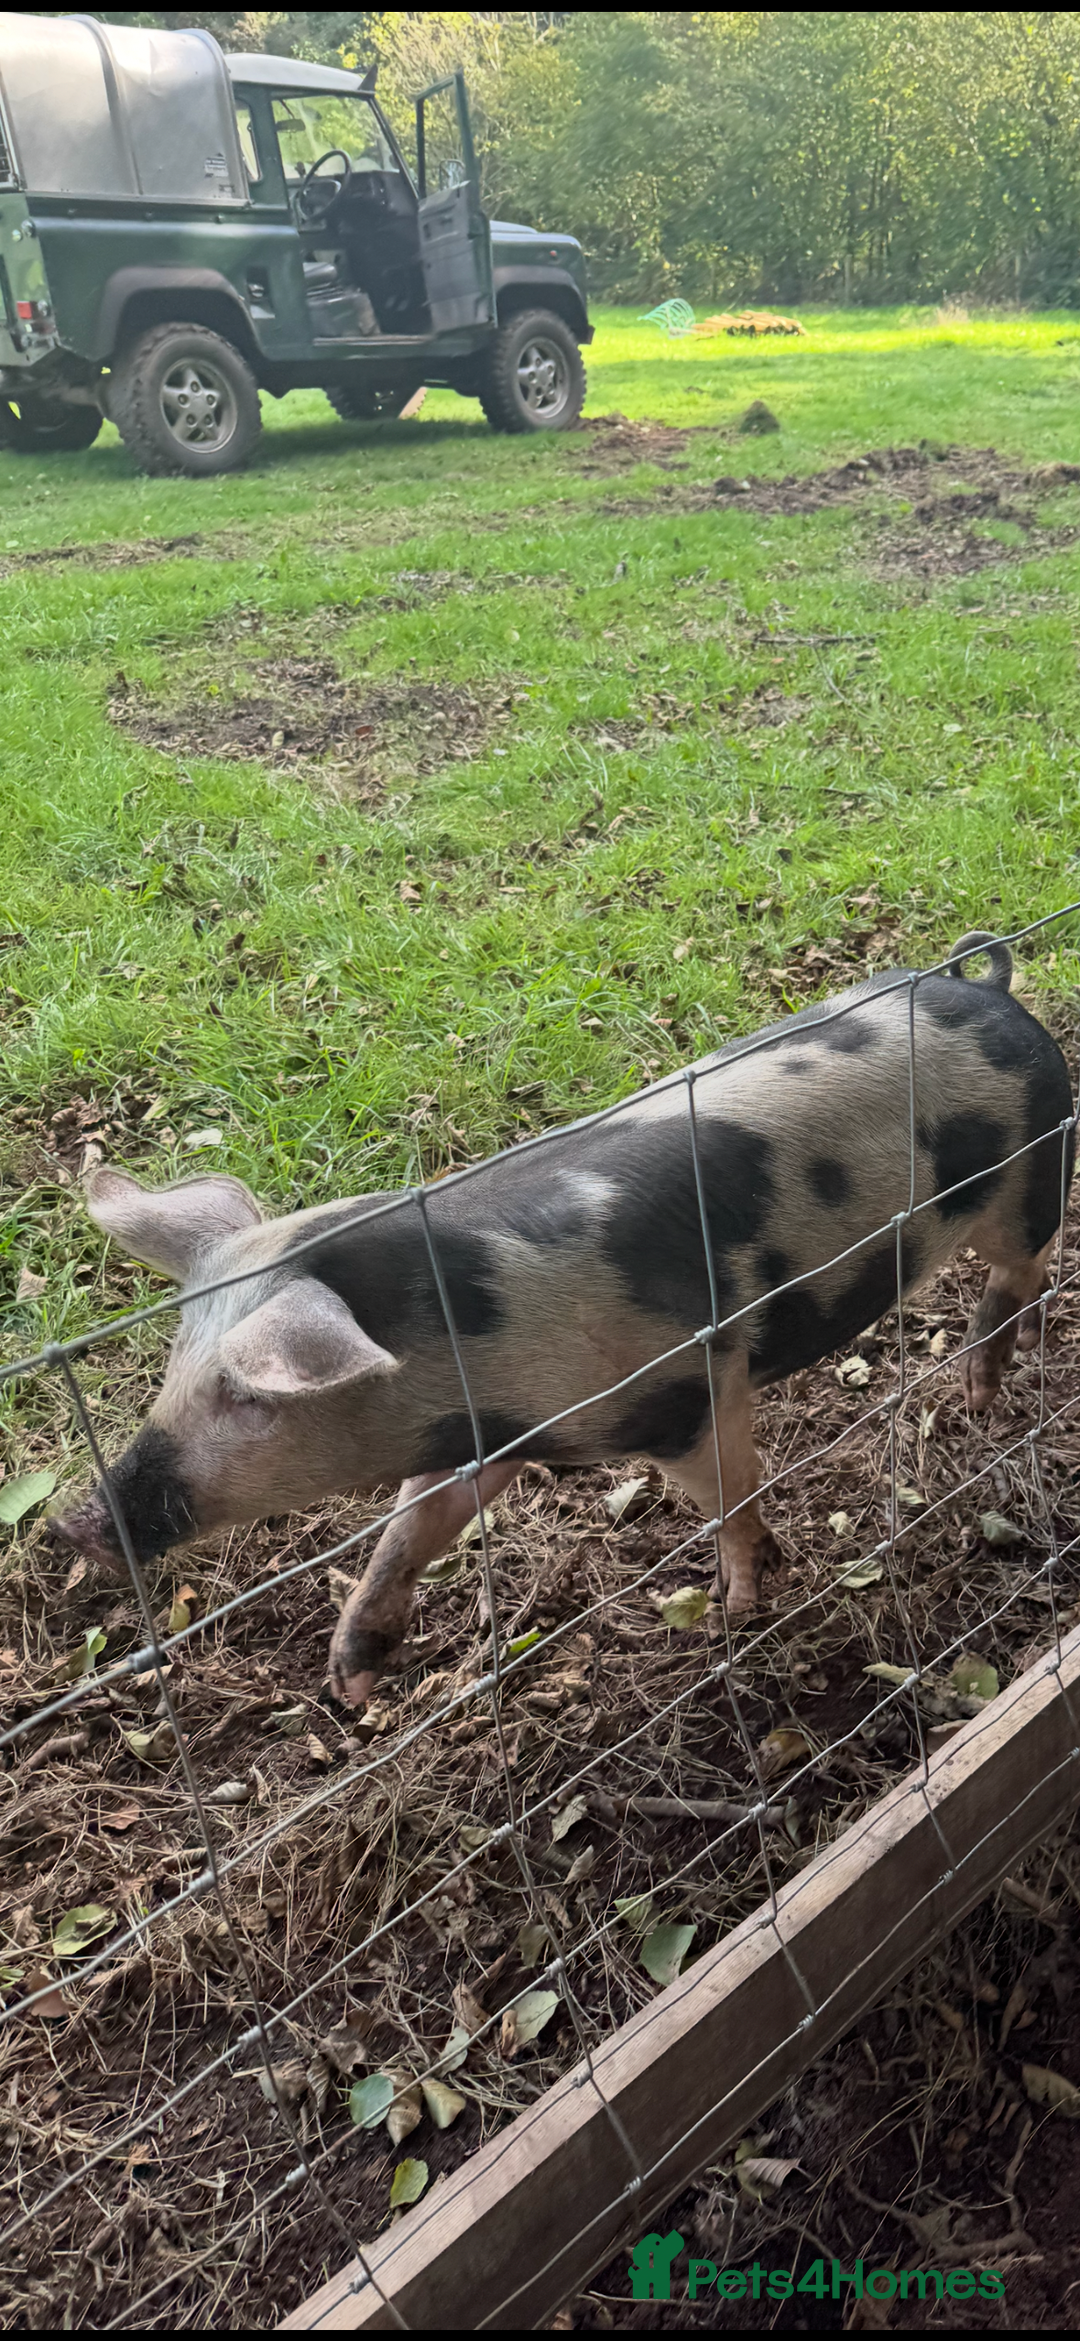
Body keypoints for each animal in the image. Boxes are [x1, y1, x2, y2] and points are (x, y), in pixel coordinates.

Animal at [50, 931, 1074, 1708]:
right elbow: (408, 1527)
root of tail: (990, 990)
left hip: (1026, 1177)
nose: (74, 1523)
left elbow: (729, 1496)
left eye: (248, 1396)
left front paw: (738, 1607)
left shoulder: (688, 1390)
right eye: (173, 1366)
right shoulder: (486, 1437)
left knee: (1025, 1262)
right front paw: (351, 1678)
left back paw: (981, 1387)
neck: (467, 1356)